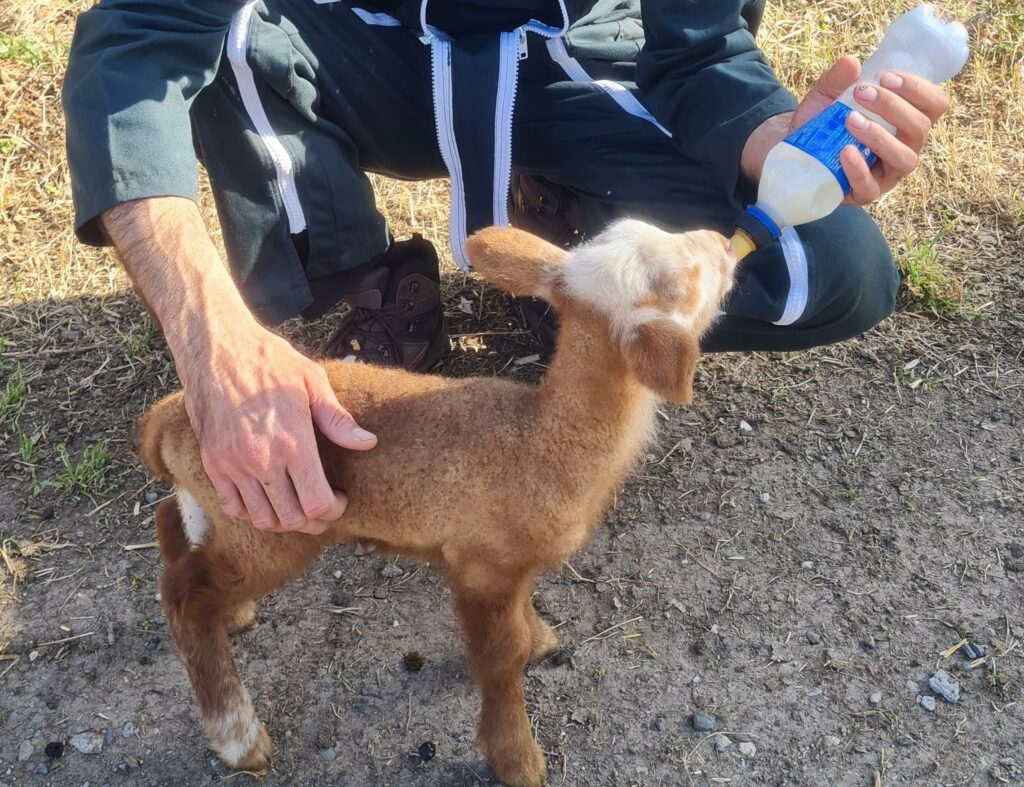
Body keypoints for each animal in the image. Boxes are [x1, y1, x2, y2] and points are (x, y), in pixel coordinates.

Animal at [138, 219, 737, 785]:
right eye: (682, 283)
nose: (726, 243)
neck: (543, 439)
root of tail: (169, 418)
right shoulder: (481, 564)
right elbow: (500, 658)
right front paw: (515, 757)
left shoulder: (508, 563)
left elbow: (522, 622)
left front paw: (541, 639)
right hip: (273, 527)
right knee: (184, 593)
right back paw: (238, 736)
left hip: (221, 503)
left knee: (173, 522)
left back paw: (233, 613)